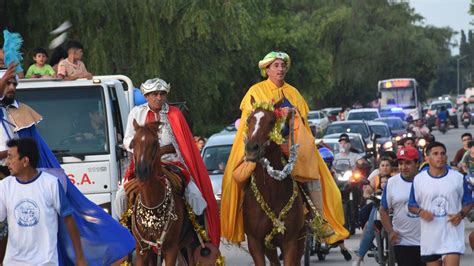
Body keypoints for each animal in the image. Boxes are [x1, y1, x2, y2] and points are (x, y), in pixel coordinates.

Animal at [129, 119, 193, 264]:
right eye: (133, 142)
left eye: (154, 143)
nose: (142, 171)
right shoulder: (142, 251)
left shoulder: (171, 250)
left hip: (188, 245)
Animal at [243, 100, 306, 266]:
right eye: (249, 120)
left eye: (272, 121)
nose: (251, 149)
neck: (271, 193)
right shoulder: (255, 241)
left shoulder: (290, 240)